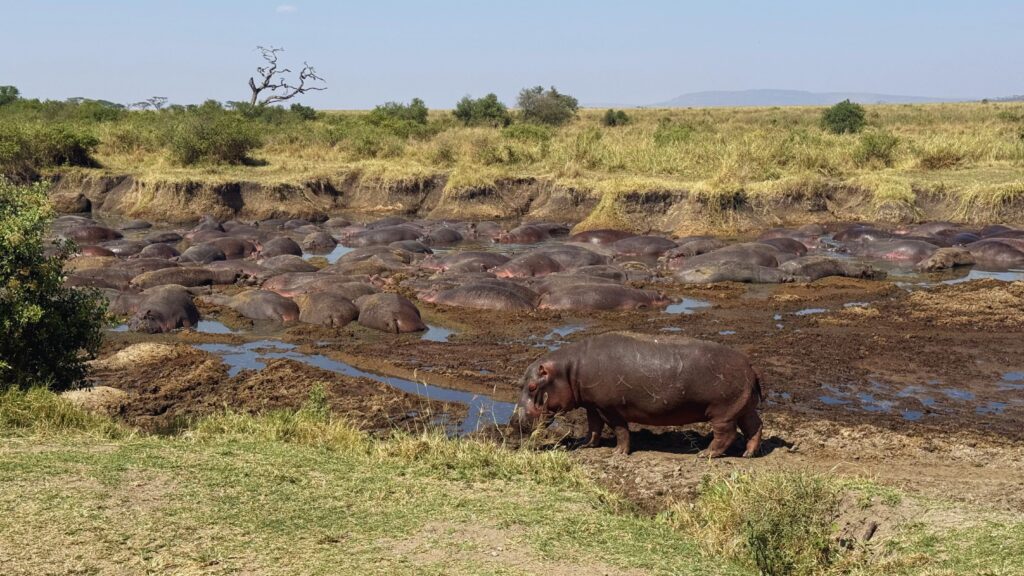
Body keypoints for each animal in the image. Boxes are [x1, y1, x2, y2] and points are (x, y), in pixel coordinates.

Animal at [517, 332, 763, 456]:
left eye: (532, 387)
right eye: (521, 384)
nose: (513, 423)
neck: (569, 369)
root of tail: (751, 367)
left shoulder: (609, 407)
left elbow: (619, 429)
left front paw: (618, 453)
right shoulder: (592, 405)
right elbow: (593, 426)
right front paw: (585, 445)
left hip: (722, 411)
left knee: (726, 434)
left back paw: (705, 454)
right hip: (743, 407)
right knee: (754, 426)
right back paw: (748, 454)